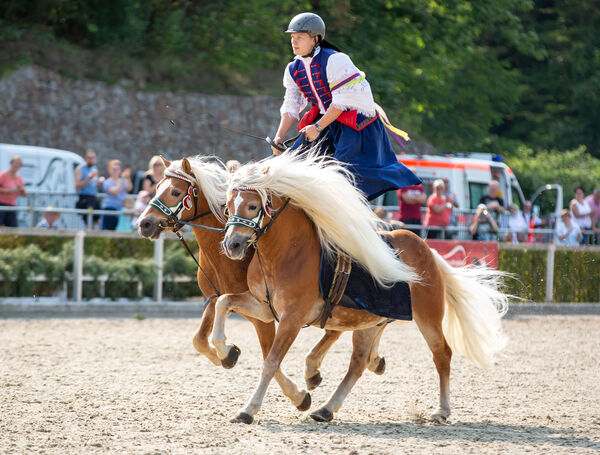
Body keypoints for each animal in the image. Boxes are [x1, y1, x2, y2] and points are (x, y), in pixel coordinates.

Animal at [137, 157, 386, 414]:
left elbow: (270, 357)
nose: (144, 223)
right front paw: (227, 355)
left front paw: (297, 396)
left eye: (176, 192)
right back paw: (362, 362)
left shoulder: (265, 317)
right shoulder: (216, 299)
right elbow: (200, 340)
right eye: (157, 188)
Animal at [218, 152, 508, 424]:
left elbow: (271, 362)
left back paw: (442, 410)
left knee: (442, 355)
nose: (232, 245)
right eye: (227, 206)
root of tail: (428, 251)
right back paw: (327, 408)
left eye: (253, 205)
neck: (287, 254)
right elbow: (224, 302)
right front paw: (224, 351)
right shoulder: (264, 308)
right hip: (369, 323)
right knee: (357, 364)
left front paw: (248, 410)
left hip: (428, 317)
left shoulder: (292, 318)